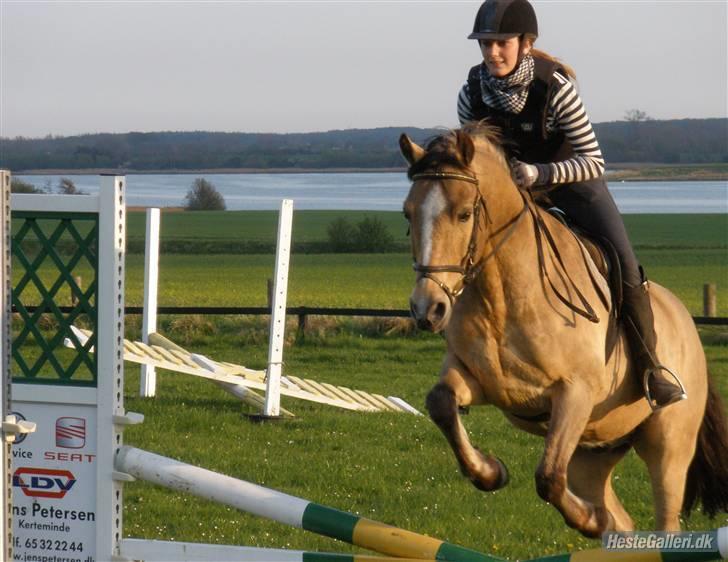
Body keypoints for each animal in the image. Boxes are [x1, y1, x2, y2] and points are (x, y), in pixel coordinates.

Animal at [400, 124, 724, 536]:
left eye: (463, 214)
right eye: (408, 214)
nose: (427, 309)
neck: (503, 296)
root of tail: (687, 324)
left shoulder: (575, 393)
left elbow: (549, 477)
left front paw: (588, 519)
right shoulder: (481, 381)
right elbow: (441, 402)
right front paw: (491, 471)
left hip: (667, 445)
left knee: (665, 515)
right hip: (595, 449)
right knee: (621, 517)